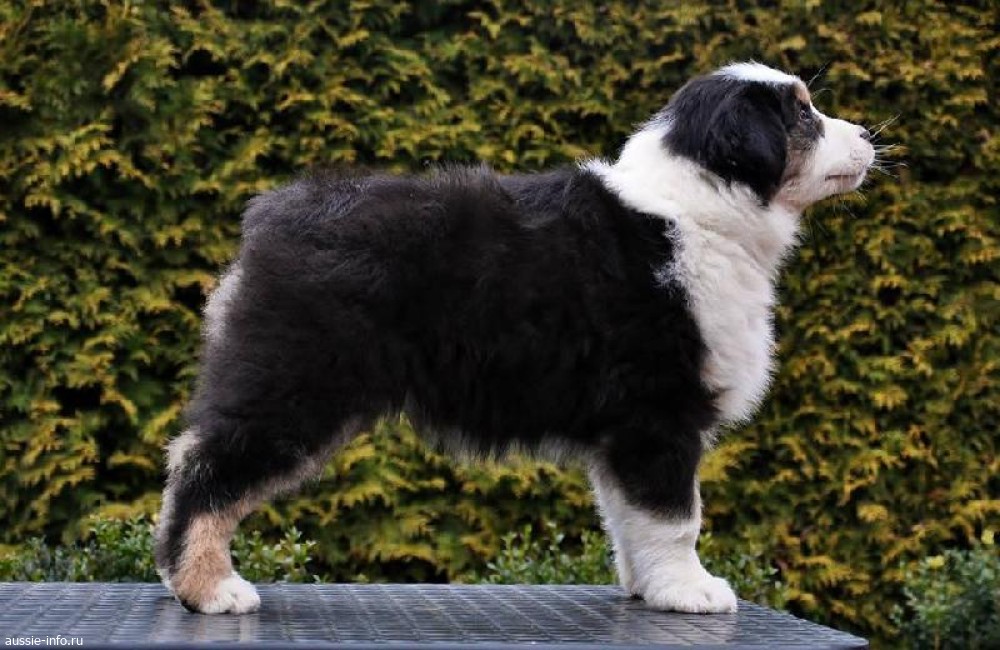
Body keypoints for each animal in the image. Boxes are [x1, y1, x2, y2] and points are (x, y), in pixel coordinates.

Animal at [155, 62, 875, 614]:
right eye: (802, 114)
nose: (868, 134)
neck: (701, 208)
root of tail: (270, 219)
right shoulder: (658, 412)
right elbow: (676, 515)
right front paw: (690, 591)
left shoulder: (622, 431)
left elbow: (629, 517)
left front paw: (647, 589)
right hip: (297, 378)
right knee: (205, 468)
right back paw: (209, 588)